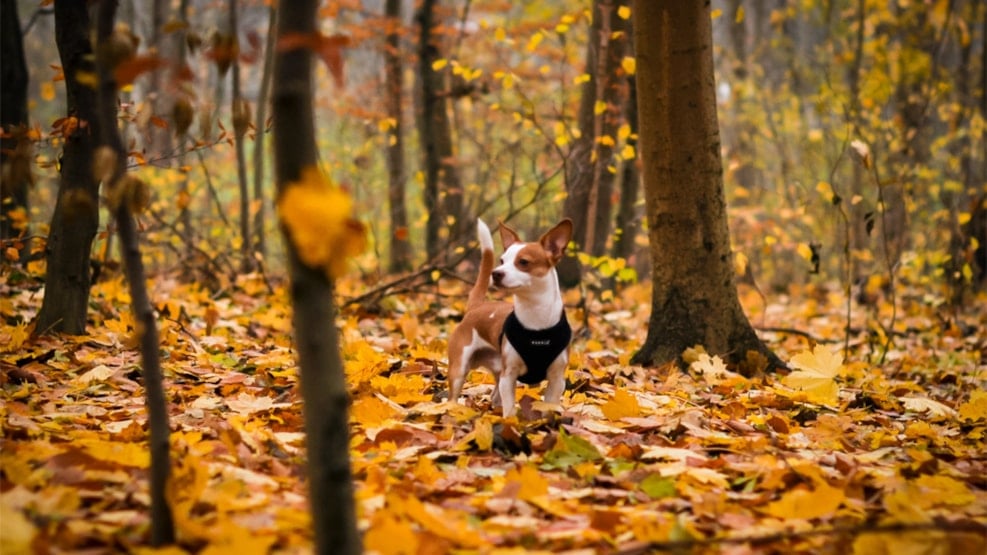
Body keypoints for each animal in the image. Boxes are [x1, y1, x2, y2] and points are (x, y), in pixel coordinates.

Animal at [446, 217, 576, 416]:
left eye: (523, 262)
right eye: (501, 260)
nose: (496, 273)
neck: (535, 321)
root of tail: (476, 307)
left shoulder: (557, 380)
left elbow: (548, 407)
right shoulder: (509, 376)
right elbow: (510, 410)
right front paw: (509, 421)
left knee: (495, 397)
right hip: (459, 369)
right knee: (453, 396)